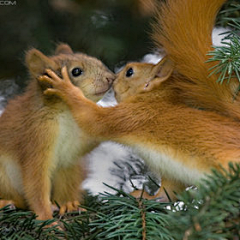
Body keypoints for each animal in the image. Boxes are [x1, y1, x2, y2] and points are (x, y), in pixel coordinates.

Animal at [0, 43, 114, 221]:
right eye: (76, 71)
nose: (111, 78)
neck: (67, 114)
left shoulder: (70, 153)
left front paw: (68, 205)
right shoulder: (36, 138)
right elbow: (36, 182)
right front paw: (46, 219)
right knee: (19, 200)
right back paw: (6, 202)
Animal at [39, 0, 240, 200]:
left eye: (129, 72)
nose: (112, 78)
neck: (151, 100)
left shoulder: (132, 115)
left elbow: (94, 120)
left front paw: (65, 87)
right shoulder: (170, 174)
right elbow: (168, 192)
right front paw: (145, 197)